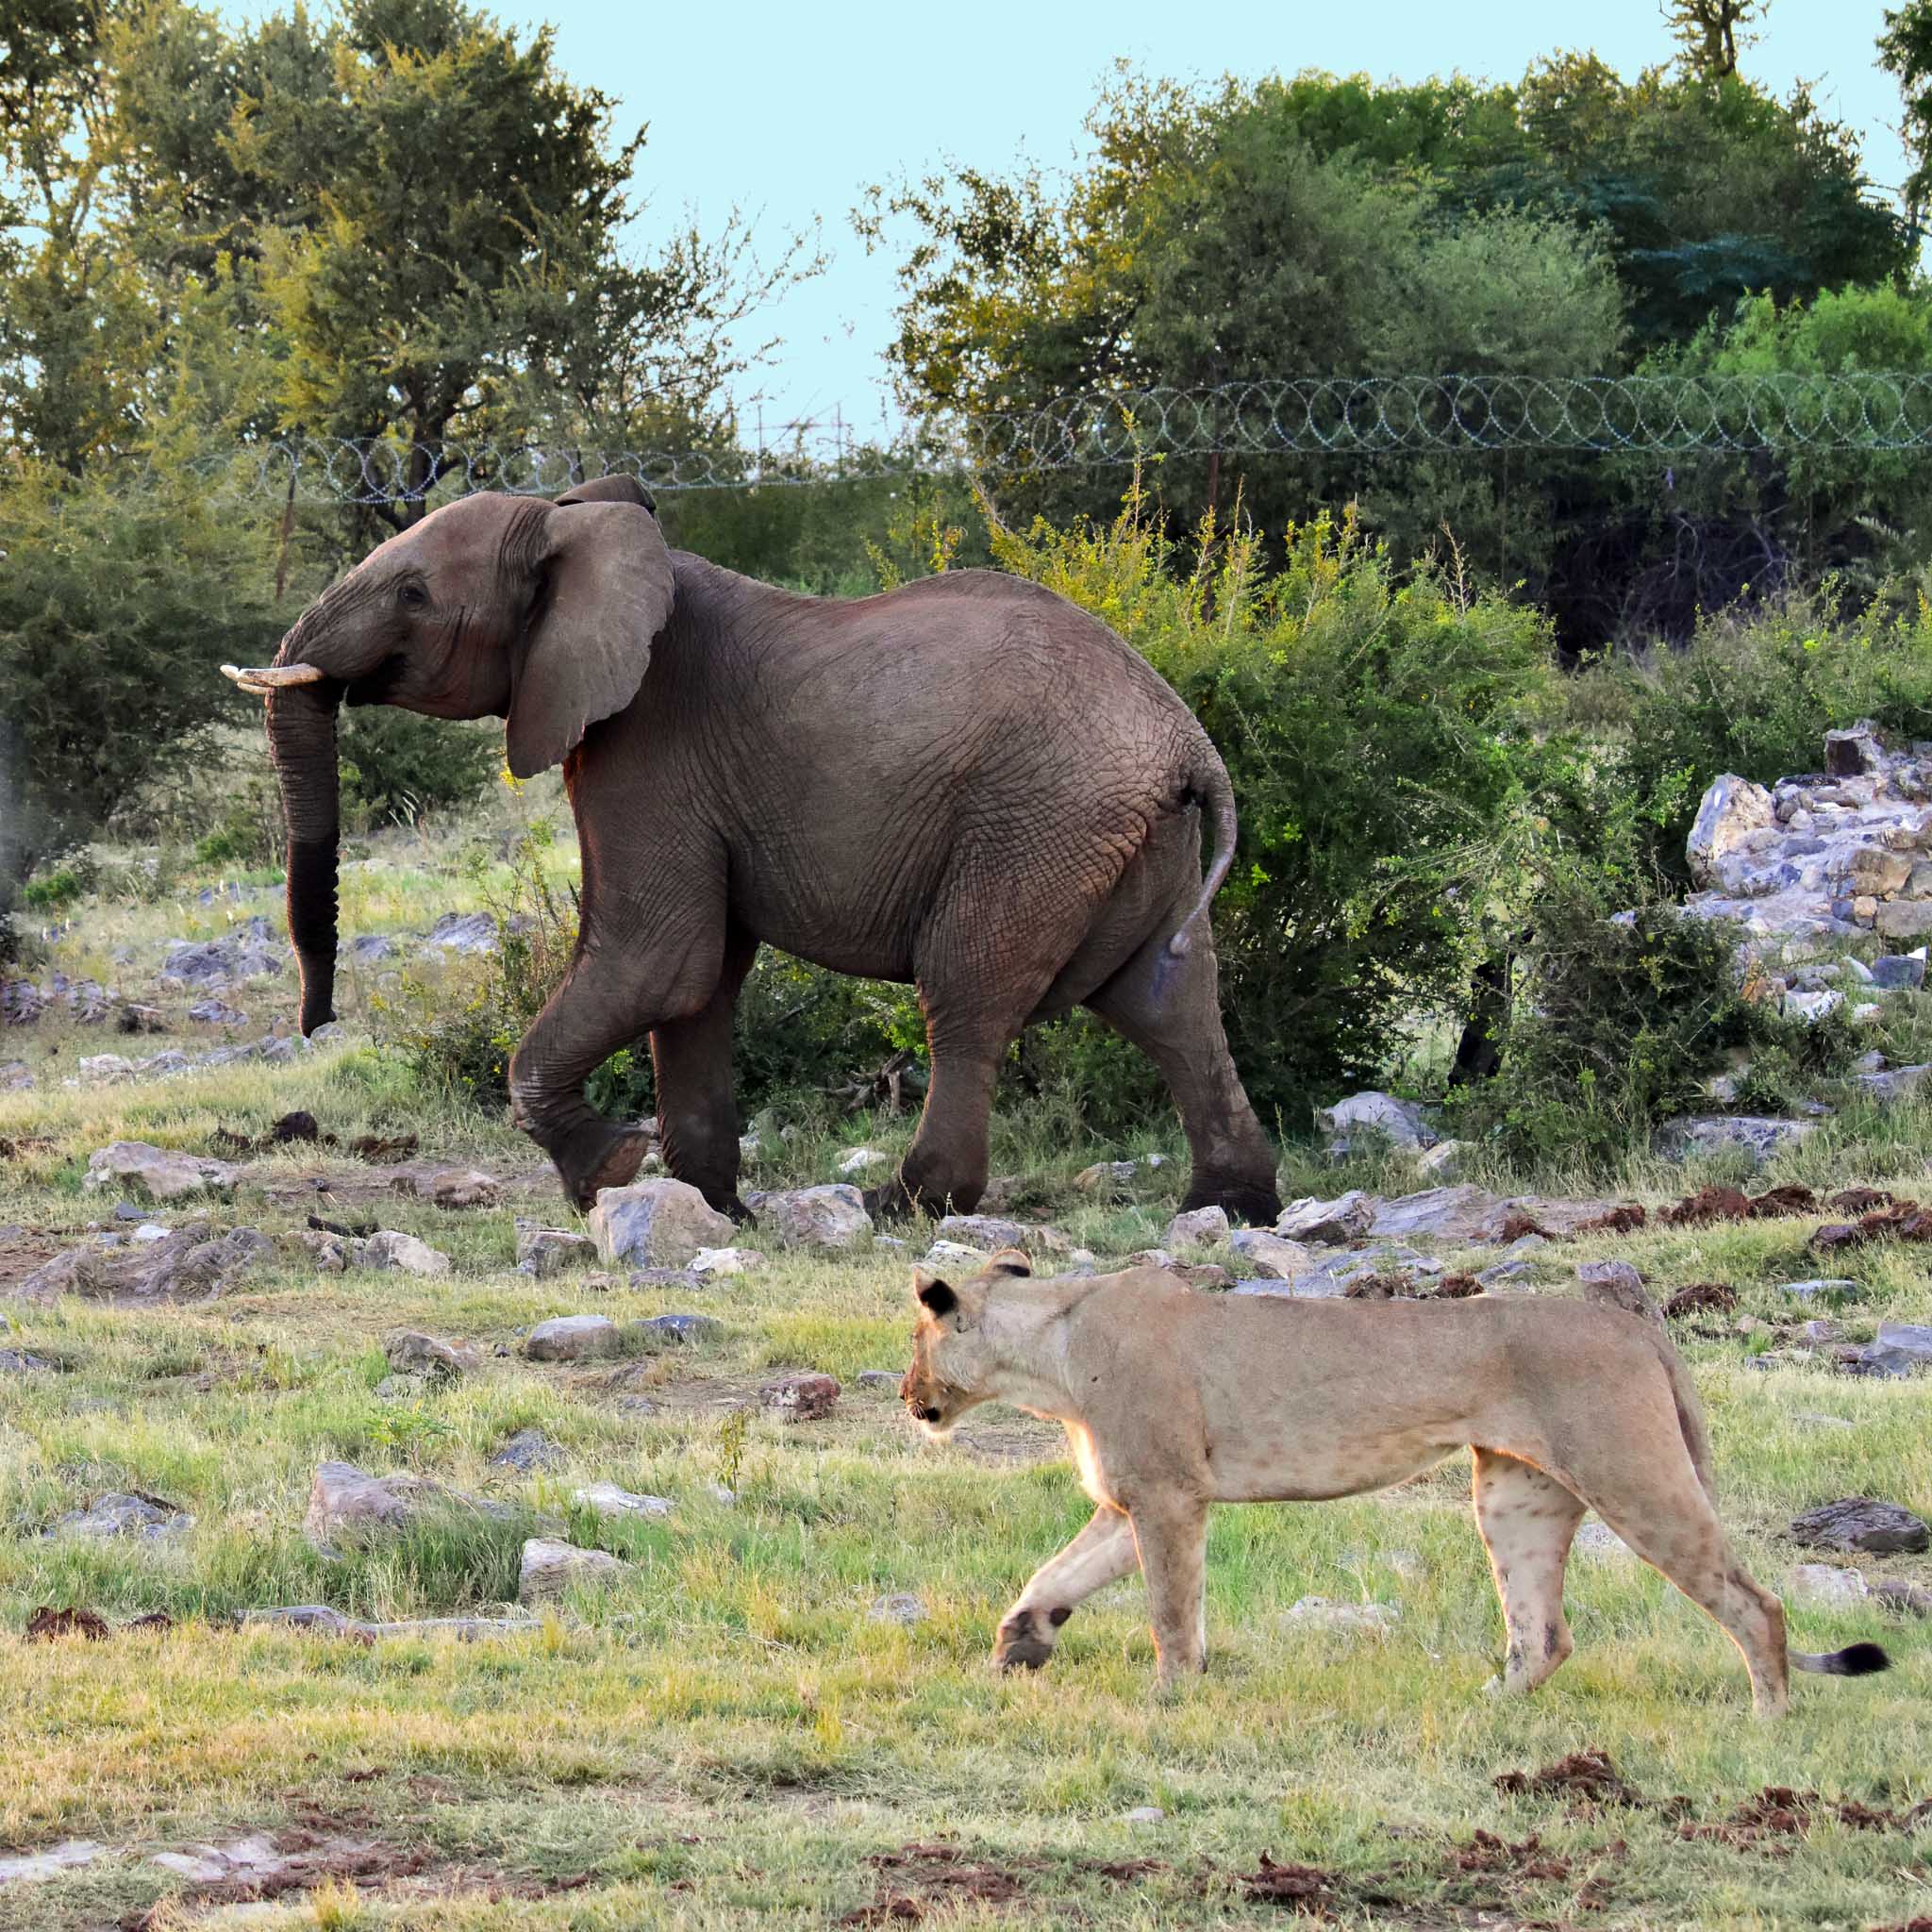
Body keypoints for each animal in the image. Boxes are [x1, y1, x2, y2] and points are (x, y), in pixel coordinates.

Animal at [222, 475, 1283, 1226]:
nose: (317, 1025)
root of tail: (1187, 742)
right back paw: (1227, 1207)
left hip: (1035, 822)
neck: (574, 523)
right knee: (1169, 1002)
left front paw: (608, 1172)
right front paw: (711, 1207)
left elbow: (658, 960)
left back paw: (903, 1204)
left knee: (967, 998)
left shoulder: (648, 743)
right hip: (1130, 837)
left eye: (412, 593)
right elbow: (697, 983)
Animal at [901, 1251, 1890, 1716]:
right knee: (1545, 1635)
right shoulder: (1132, 1496)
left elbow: (1171, 1614)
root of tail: (1638, 1327)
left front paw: (1170, 1697)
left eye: (914, 1342)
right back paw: (1484, 1709)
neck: (1050, 1357)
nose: (910, 1398)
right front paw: (1020, 1644)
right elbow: (1054, 1574)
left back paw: (1769, 1720)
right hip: (1515, 1498)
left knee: (1756, 1605)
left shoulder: (1170, 1495)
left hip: (1634, 1477)